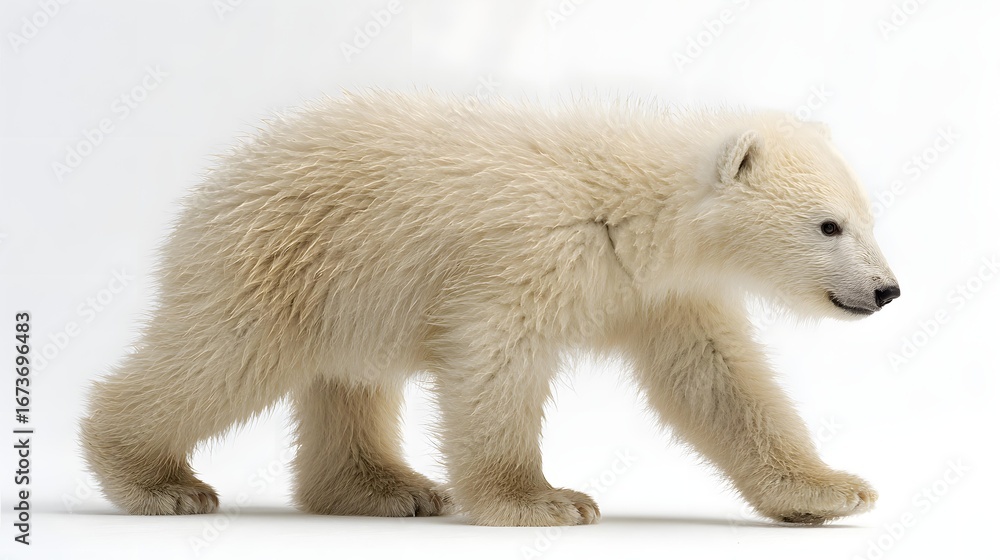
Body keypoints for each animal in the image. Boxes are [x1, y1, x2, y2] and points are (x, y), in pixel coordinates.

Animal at [81, 91, 900, 526]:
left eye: (867, 216)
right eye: (829, 225)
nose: (887, 290)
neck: (628, 210)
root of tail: (216, 181)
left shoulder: (665, 295)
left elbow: (720, 384)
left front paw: (830, 491)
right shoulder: (534, 257)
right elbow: (496, 362)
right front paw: (546, 501)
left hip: (349, 293)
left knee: (349, 383)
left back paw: (391, 489)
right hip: (279, 264)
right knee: (222, 358)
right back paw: (158, 481)